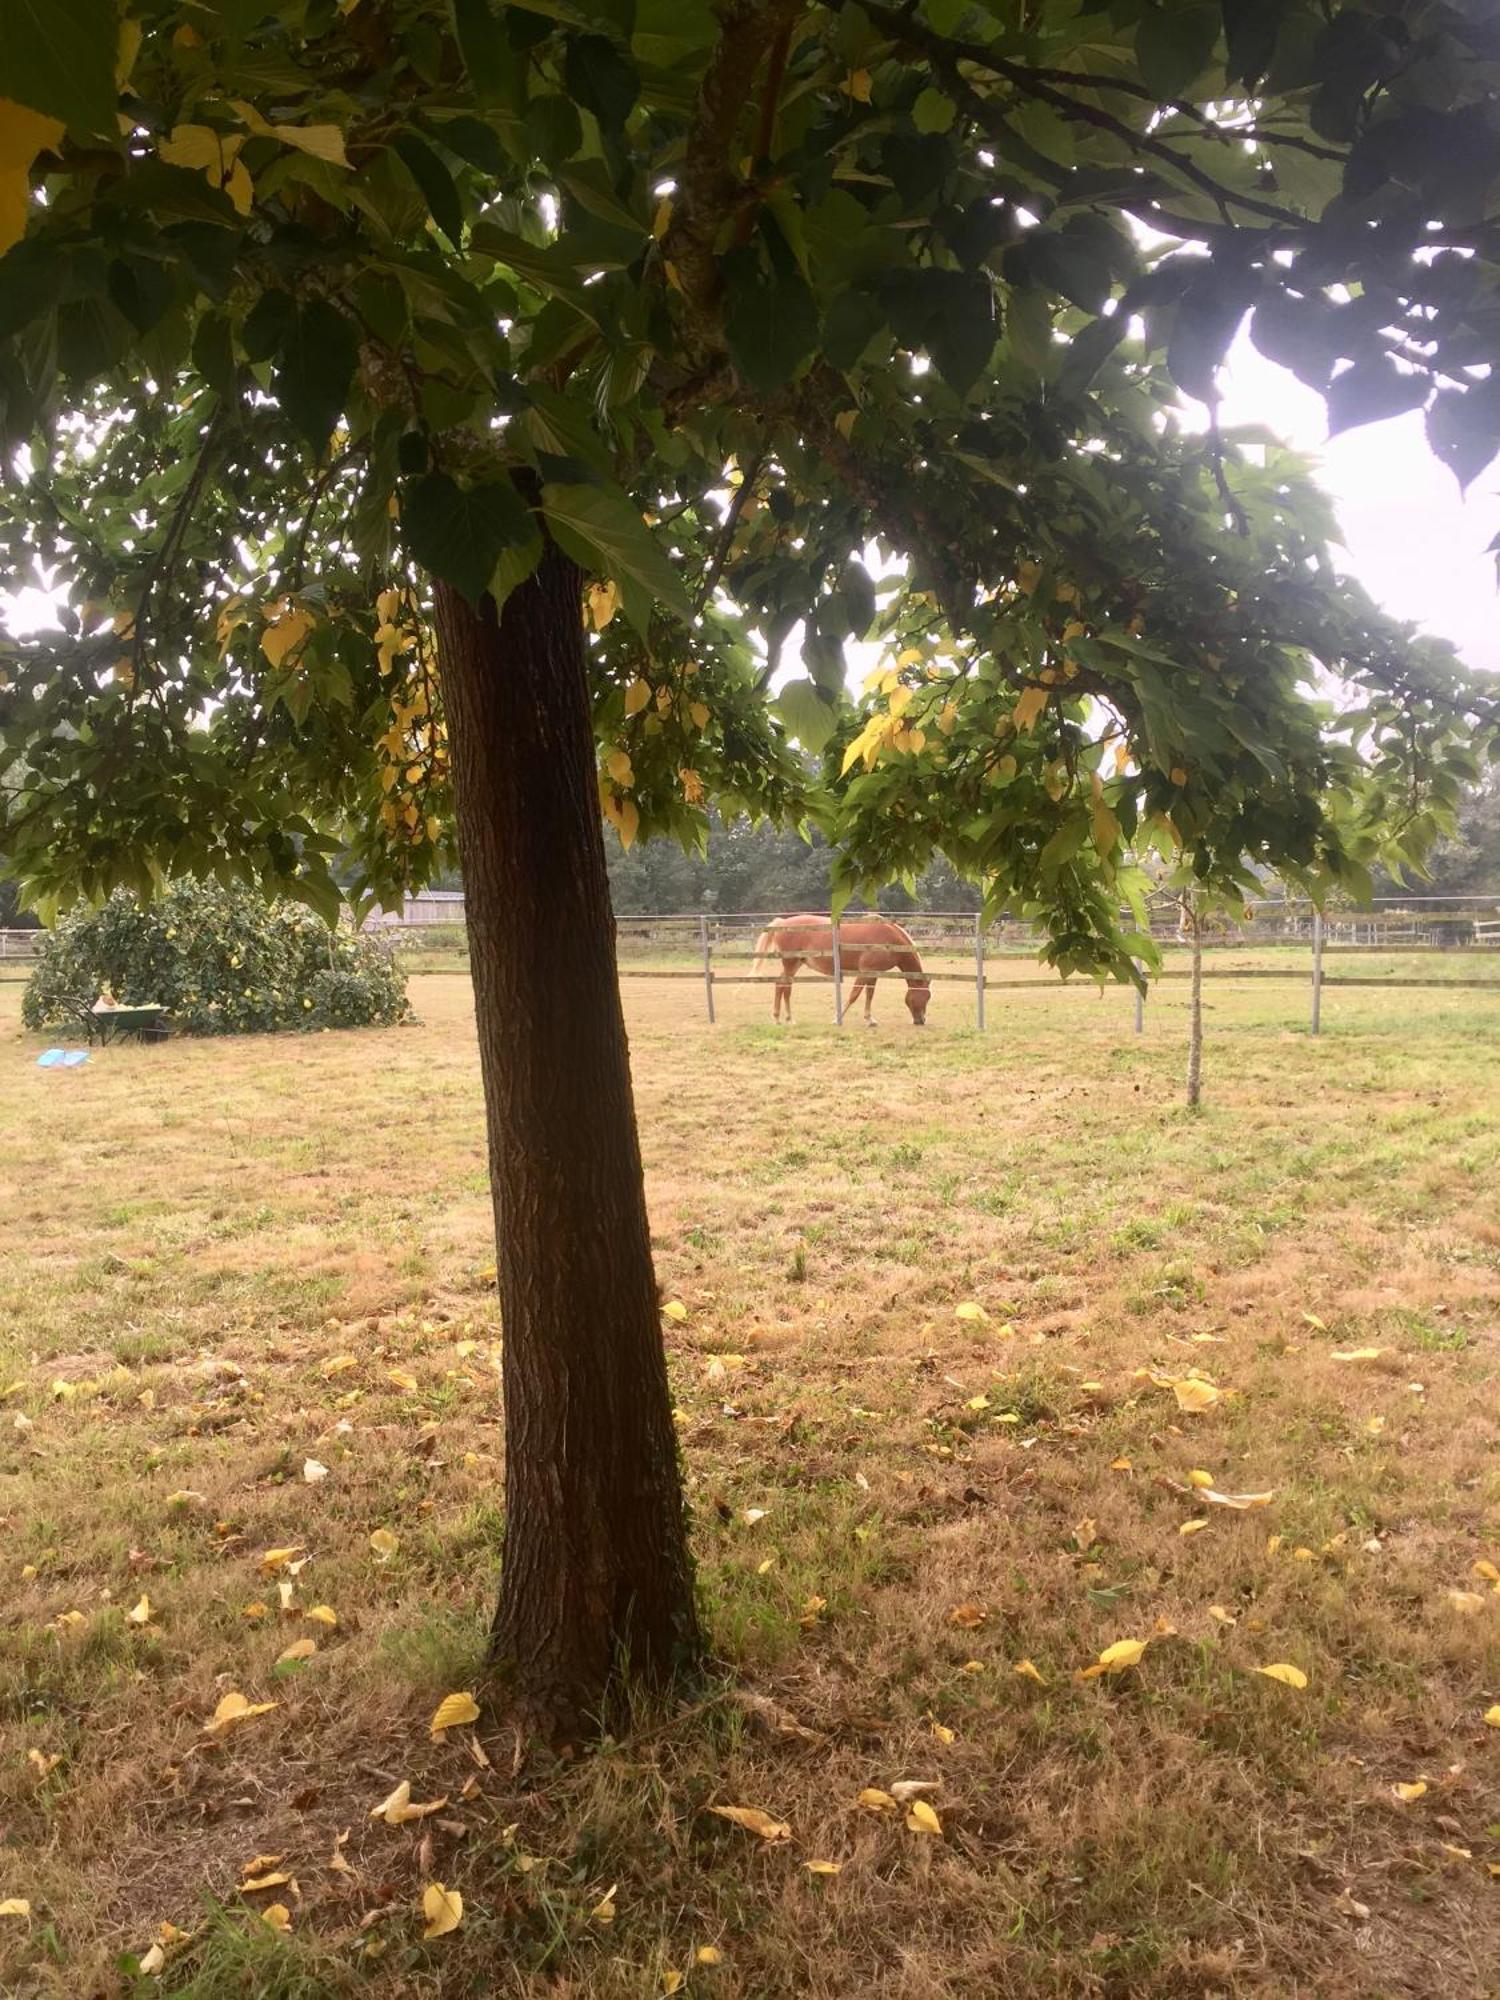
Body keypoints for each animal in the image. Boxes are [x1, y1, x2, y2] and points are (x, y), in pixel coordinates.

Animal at [756, 916, 936, 1024]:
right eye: (924, 997)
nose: (921, 1021)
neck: (889, 938)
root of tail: (782, 923)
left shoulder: (873, 974)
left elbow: (869, 995)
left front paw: (869, 1019)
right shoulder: (864, 972)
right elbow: (854, 995)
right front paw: (837, 1019)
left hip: (795, 964)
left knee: (784, 987)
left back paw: (786, 1018)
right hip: (790, 963)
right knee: (782, 986)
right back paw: (781, 1019)